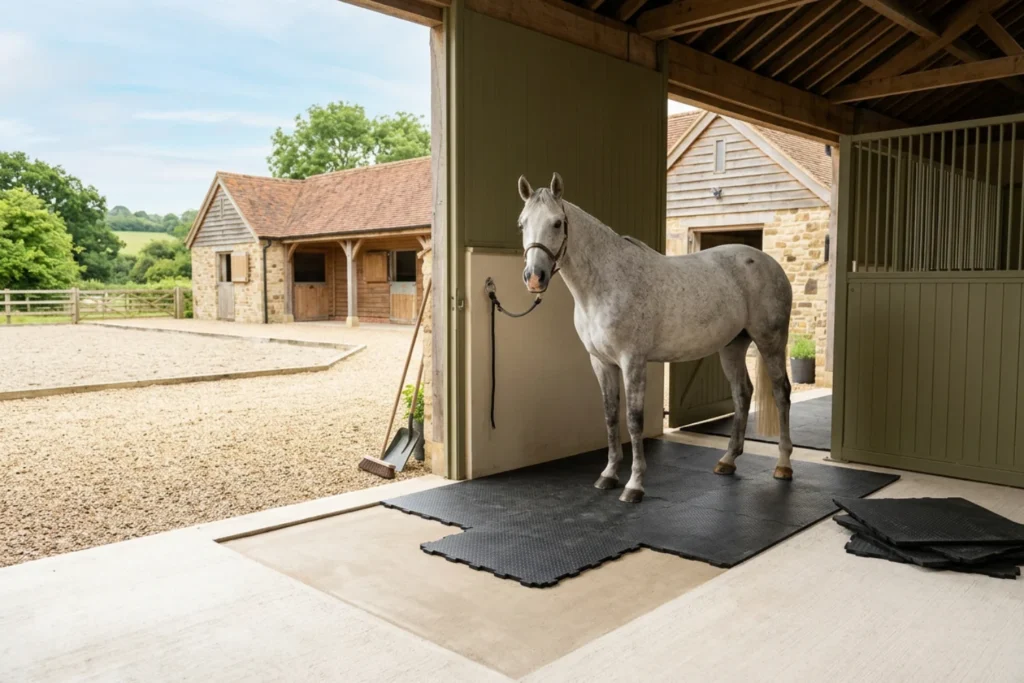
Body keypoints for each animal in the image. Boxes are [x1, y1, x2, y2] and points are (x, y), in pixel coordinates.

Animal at [517, 172, 794, 504]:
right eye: (522, 224)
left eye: (557, 223)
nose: (534, 277)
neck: (606, 283)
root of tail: (770, 263)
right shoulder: (601, 362)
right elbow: (611, 417)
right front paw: (608, 475)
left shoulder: (633, 361)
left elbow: (634, 421)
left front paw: (634, 485)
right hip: (732, 346)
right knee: (742, 394)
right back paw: (728, 461)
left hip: (770, 342)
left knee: (781, 393)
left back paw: (783, 465)